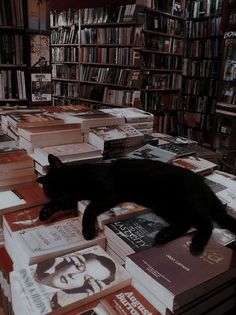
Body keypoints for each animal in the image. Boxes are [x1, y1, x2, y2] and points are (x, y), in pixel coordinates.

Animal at [37, 154, 236, 253]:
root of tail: (205, 185)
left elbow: (89, 209)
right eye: (46, 188)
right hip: (167, 206)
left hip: (187, 202)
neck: (79, 179)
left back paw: (197, 243)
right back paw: (163, 235)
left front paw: (87, 230)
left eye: (51, 184)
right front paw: (45, 212)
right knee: (185, 223)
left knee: (207, 223)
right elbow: (62, 202)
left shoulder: (108, 193)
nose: (47, 193)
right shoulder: (73, 197)